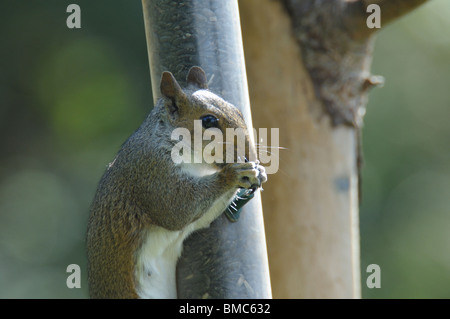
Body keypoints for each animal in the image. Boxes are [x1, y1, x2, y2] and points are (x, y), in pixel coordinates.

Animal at [87, 66, 268, 298]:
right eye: (209, 121)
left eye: (238, 111)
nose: (250, 156)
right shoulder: (151, 171)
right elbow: (178, 209)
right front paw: (232, 175)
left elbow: (200, 217)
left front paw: (258, 171)